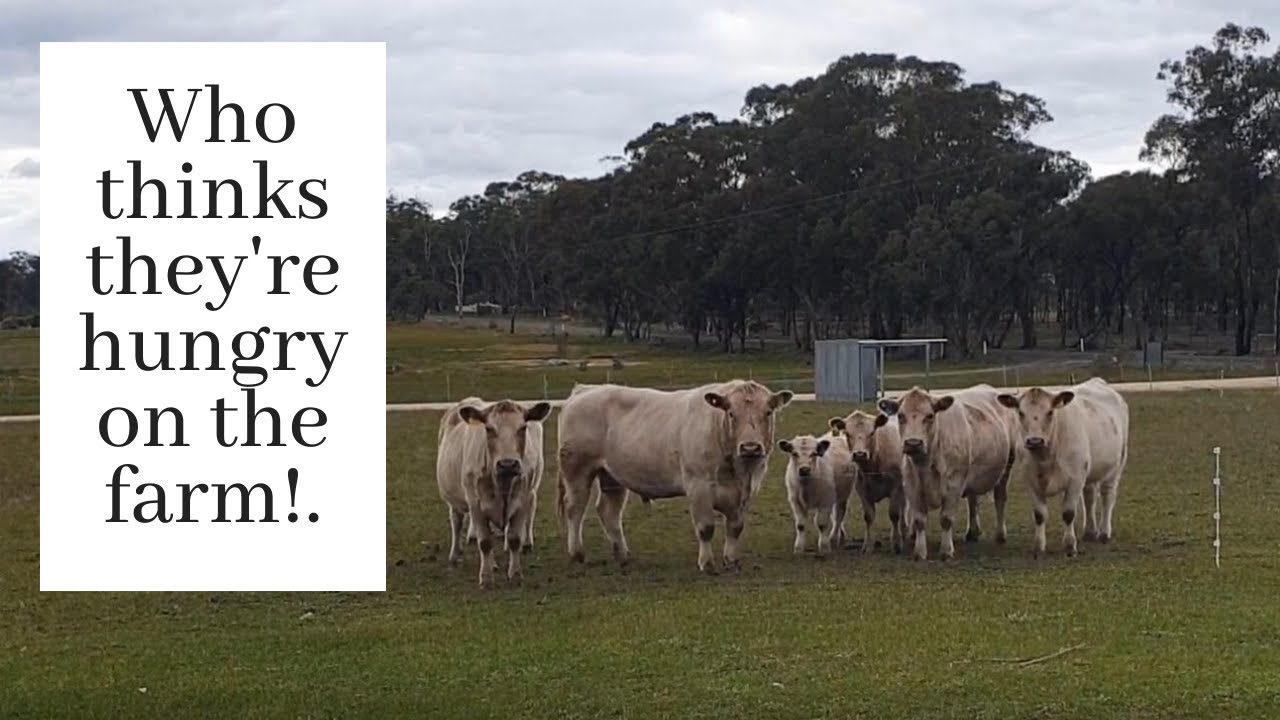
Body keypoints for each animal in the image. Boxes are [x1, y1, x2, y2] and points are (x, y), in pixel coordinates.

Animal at [436, 397, 552, 588]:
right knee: (457, 521)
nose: (507, 464)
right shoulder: (476, 504)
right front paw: (486, 578)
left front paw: (515, 574)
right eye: (489, 429)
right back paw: (455, 555)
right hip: (455, 499)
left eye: (522, 428)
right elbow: (485, 542)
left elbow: (514, 539)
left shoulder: (522, 500)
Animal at [556, 380, 794, 574]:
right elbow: (706, 528)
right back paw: (577, 553)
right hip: (577, 469)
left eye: (768, 412)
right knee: (575, 508)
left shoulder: (745, 492)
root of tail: (585, 390)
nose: (750, 447)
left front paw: (732, 561)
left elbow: (735, 528)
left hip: (612, 477)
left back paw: (622, 555)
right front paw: (706, 564)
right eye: (731, 413)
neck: (737, 472)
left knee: (609, 512)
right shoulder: (698, 486)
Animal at [829, 409, 907, 554]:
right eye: (847, 433)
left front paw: (896, 543)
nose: (859, 454)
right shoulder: (862, 490)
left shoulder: (896, 487)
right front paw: (868, 546)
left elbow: (894, 514)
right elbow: (869, 517)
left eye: (871, 433)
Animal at [876, 384, 1018, 561]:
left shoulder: (954, 485)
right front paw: (919, 552)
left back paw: (1000, 535)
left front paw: (946, 550)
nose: (913, 443)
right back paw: (972, 532)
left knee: (1000, 499)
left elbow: (946, 519)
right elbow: (919, 520)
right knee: (973, 500)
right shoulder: (912, 486)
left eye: (930, 416)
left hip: (1006, 468)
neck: (926, 463)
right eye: (901, 416)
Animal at [996, 377, 1129, 557]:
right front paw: (1039, 546)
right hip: (1089, 470)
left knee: (1108, 496)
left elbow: (1068, 513)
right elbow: (1039, 515)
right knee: (1089, 497)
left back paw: (1104, 532)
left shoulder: (1075, 478)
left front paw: (1070, 545)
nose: (1035, 441)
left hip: (1116, 465)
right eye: (1021, 413)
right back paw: (1090, 532)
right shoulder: (1030, 481)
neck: (1046, 456)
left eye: (1050, 412)